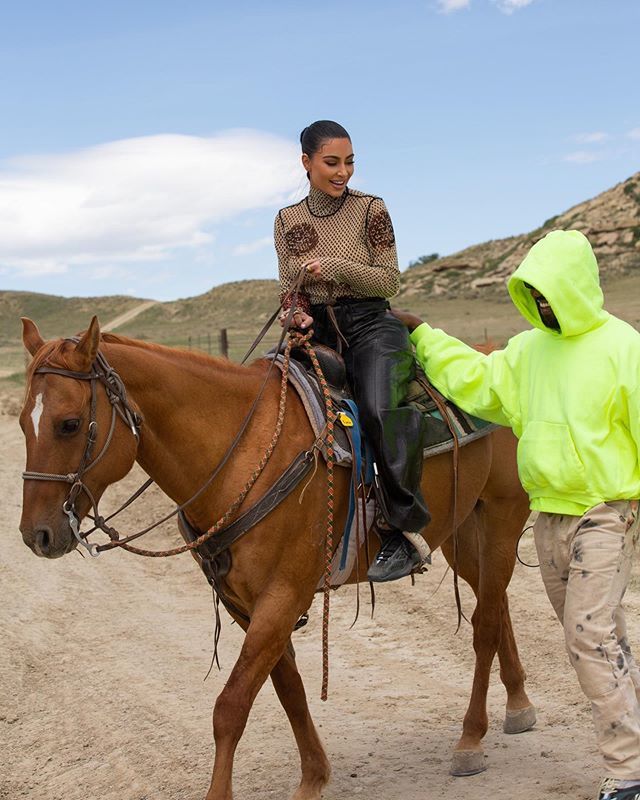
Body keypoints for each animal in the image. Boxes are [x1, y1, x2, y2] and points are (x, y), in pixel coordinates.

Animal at [18, 318, 536, 800]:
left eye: (68, 423)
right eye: (23, 422)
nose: (36, 535)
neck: (240, 452)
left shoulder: (283, 596)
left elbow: (230, 707)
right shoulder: (246, 605)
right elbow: (288, 688)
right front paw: (313, 777)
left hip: (502, 517)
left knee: (485, 622)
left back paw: (471, 739)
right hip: (459, 531)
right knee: (497, 604)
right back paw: (518, 703)